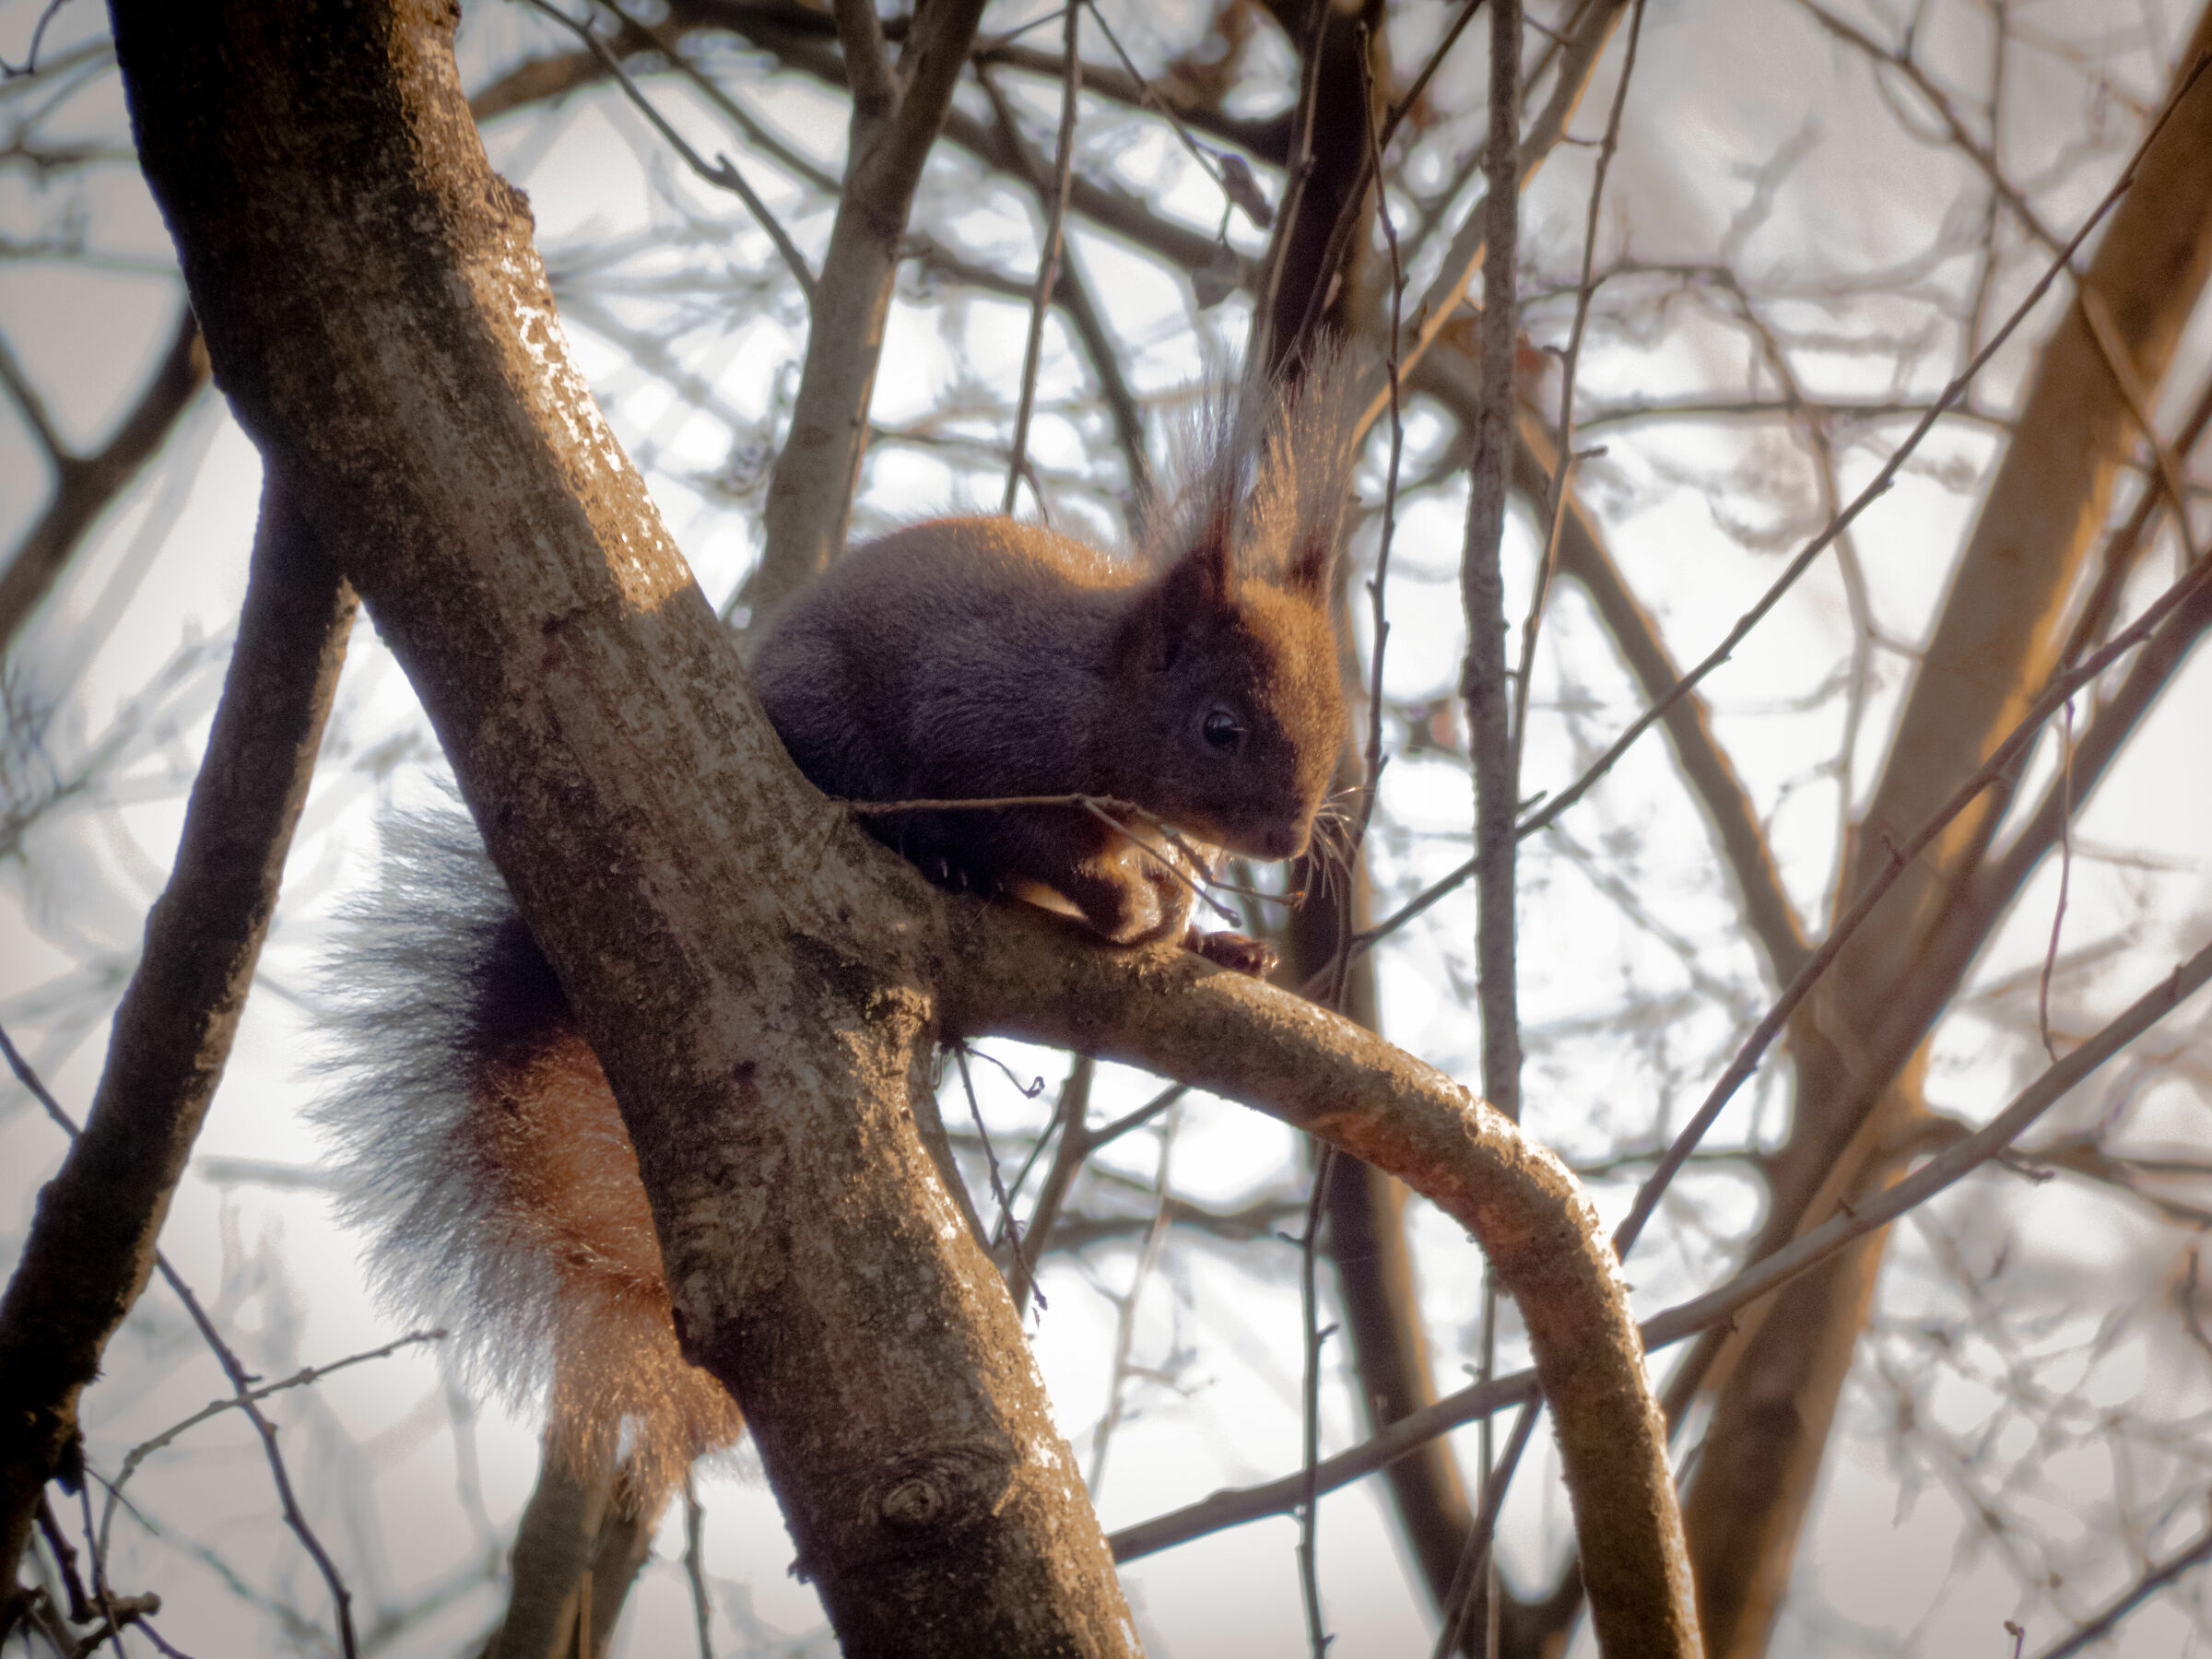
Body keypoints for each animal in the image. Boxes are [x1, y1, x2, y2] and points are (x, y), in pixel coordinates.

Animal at [315, 358, 1359, 1513]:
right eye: (1221, 727)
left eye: (1338, 719)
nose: (1286, 838)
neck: (1105, 686)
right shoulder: (983, 724)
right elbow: (1040, 837)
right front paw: (1130, 904)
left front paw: (1184, 913)